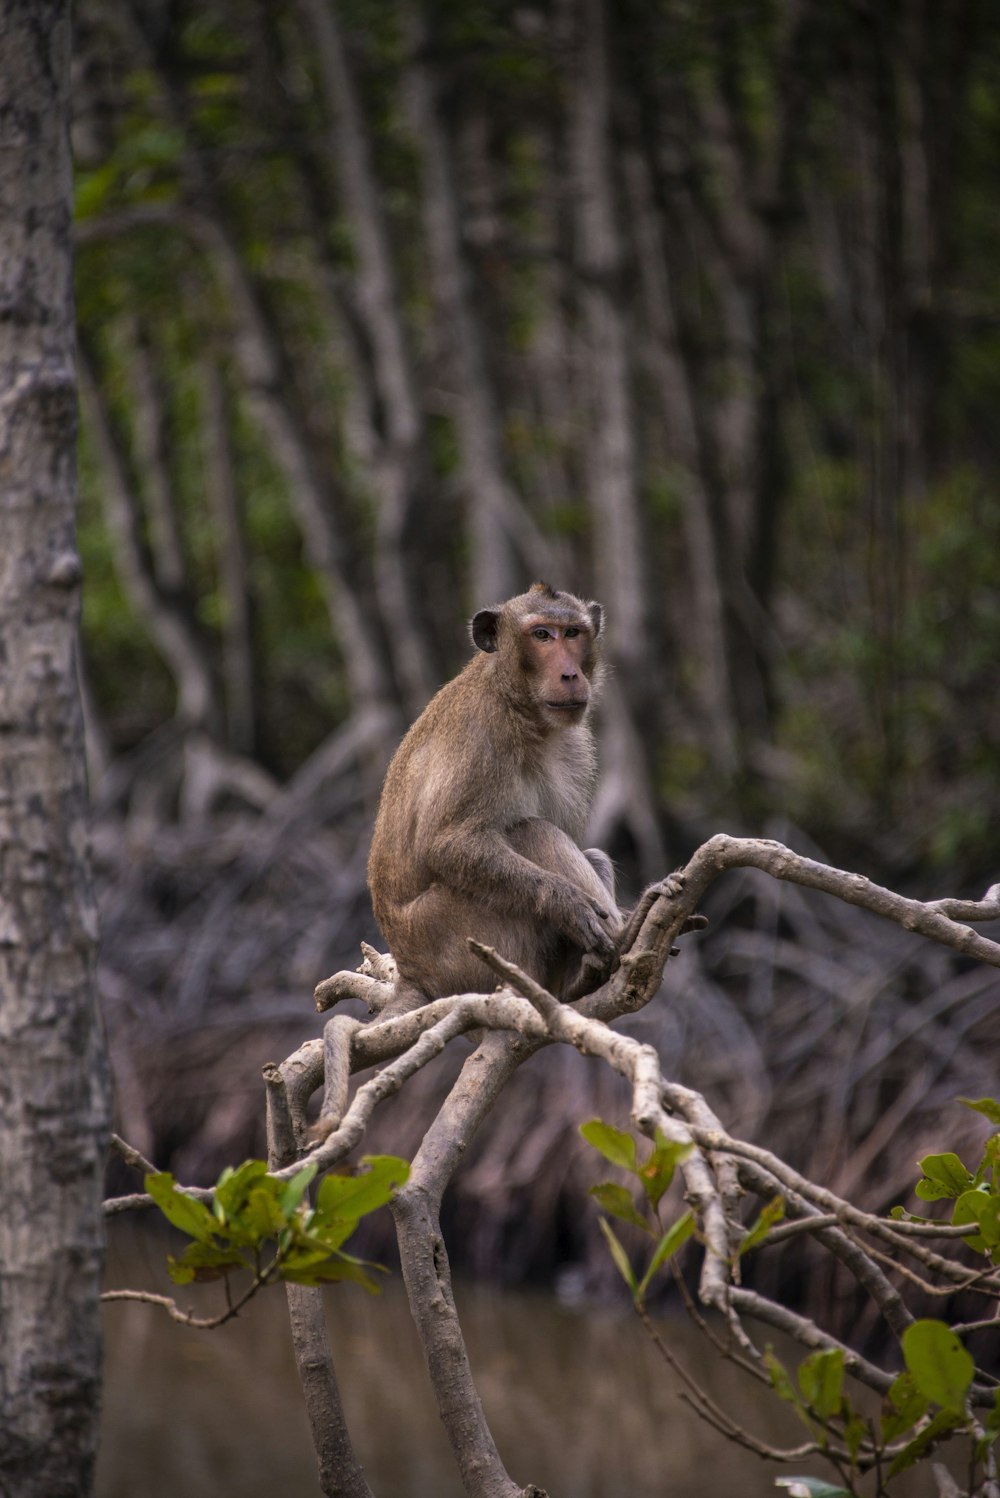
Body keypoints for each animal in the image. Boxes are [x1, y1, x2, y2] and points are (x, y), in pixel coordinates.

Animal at [366, 578, 625, 1012]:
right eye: (542, 635)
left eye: (572, 632)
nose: (570, 674)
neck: (521, 709)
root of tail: (412, 970)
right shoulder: (481, 736)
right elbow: (447, 844)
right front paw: (568, 904)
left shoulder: (574, 746)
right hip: (460, 937)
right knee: (531, 832)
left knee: (587, 852)